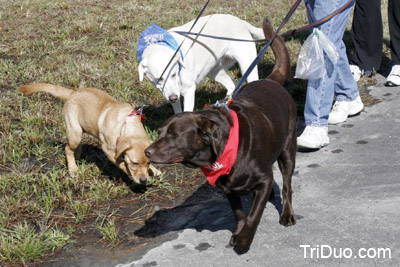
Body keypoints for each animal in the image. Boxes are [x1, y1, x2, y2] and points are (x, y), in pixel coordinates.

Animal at [17, 84, 161, 184]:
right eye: (135, 163)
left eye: (148, 163)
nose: (144, 180)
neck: (125, 124)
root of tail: (73, 92)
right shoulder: (109, 150)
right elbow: (122, 164)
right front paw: (131, 175)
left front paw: (155, 170)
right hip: (75, 133)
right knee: (67, 148)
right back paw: (72, 168)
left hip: (79, 132)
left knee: (76, 148)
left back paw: (76, 160)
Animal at [138, 14, 266, 113]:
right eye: (158, 79)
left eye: (173, 74)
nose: (173, 98)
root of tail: (240, 21)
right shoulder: (171, 93)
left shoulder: (189, 90)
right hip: (214, 72)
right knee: (232, 85)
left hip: (247, 65)